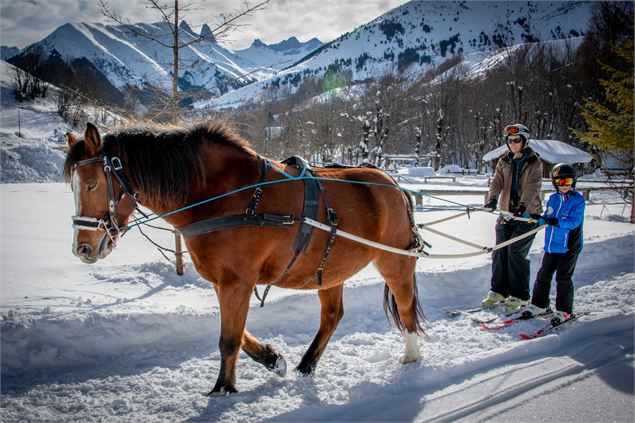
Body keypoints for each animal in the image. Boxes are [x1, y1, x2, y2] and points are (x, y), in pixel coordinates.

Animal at [64, 120, 424, 398]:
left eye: (93, 184)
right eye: (74, 187)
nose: (82, 248)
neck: (223, 195)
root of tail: (394, 185)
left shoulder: (237, 281)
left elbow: (228, 340)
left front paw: (223, 387)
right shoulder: (224, 282)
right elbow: (239, 335)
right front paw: (271, 358)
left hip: (395, 263)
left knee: (406, 308)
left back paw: (411, 356)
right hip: (328, 269)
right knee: (332, 316)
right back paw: (306, 364)